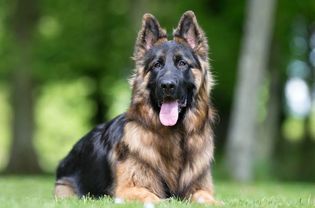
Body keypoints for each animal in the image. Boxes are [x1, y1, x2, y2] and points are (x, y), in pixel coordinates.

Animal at [54, 10, 220, 204]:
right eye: (157, 65)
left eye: (182, 63)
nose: (167, 85)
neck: (175, 136)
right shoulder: (128, 189)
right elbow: (154, 198)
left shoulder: (200, 188)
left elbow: (207, 198)